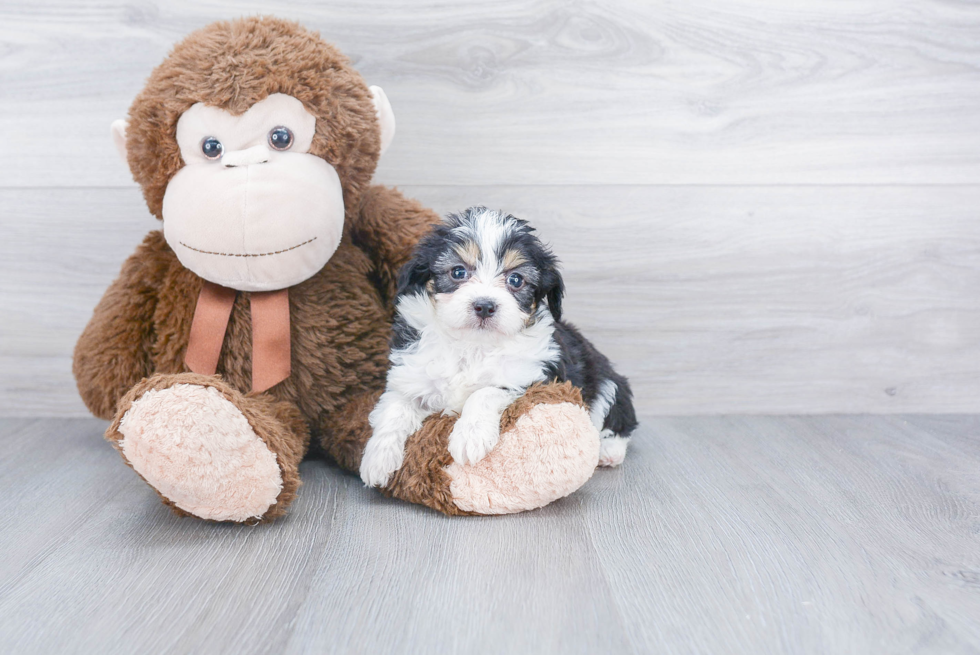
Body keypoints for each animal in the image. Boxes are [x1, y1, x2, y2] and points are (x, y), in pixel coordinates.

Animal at [360, 208, 636, 490]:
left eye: (516, 279)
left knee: (618, 418)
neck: (474, 344)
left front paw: (470, 436)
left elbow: (485, 392)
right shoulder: (411, 374)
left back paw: (609, 450)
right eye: (457, 272)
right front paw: (377, 459)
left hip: (607, 381)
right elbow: (396, 407)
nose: (484, 305)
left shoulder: (535, 378)